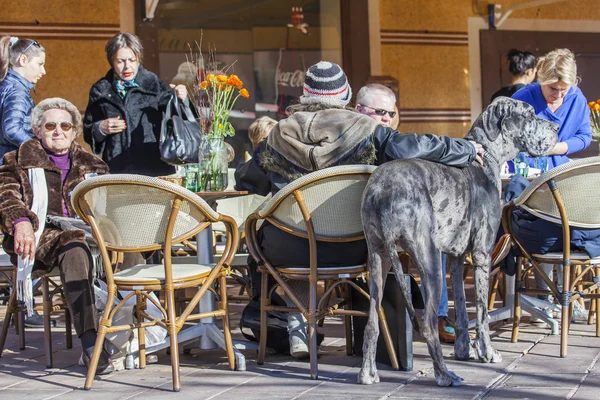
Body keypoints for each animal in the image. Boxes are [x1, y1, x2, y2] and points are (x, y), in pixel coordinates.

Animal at [356, 97, 556, 388]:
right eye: (528, 114)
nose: (556, 127)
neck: (488, 157)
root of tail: (383, 191)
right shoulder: (482, 254)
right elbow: (482, 313)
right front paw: (487, 352)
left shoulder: (456, 258)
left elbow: (462, 306)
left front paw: (464, 350)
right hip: (428, 261)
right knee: (428, 324)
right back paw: (445, 375)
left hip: (378, 260)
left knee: (372, 321)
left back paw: (367, 374)